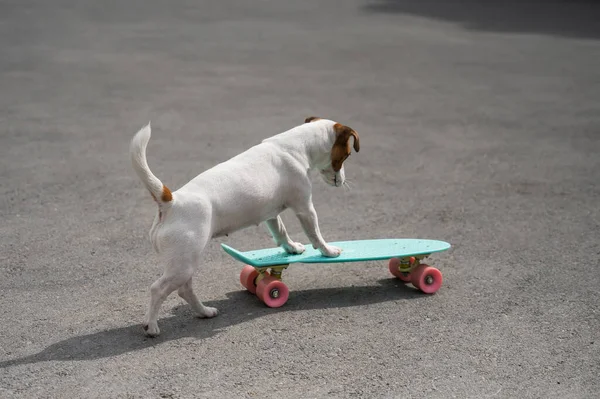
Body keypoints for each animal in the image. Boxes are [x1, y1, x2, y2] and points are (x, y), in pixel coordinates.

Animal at [129, 116, 358, 338]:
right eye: (346, 155)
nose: (343, 181)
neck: (297, 145)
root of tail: (171, 201)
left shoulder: (271, 214)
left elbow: (281, 232)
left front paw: (292, 248)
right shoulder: (305, 208)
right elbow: (315, 233)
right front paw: (329, 251)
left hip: (184, 263)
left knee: (185, 290)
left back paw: (204, 312)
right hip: (182, 266)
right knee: (158, 289)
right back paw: (152, 326)